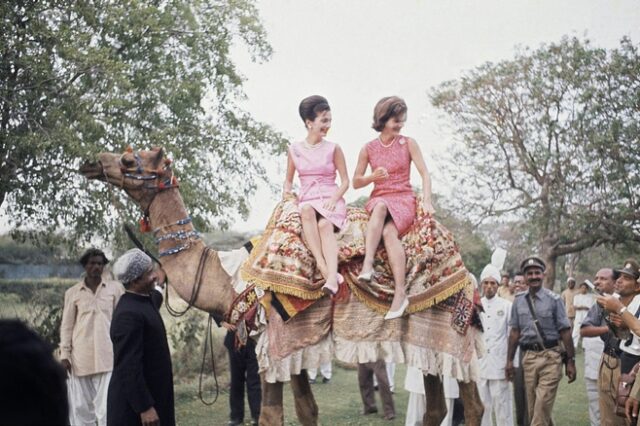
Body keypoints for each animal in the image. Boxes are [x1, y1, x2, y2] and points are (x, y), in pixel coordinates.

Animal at [80, 147, 482, 426]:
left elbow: (271, 416)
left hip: (452, 335)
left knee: (473, 405)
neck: (230, 277)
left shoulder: (271, 343)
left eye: (129, 160)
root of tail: (468, 275)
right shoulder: (292, 344)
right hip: (427, 343)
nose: (92, 162)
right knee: (436, 407)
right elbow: (306, 410)